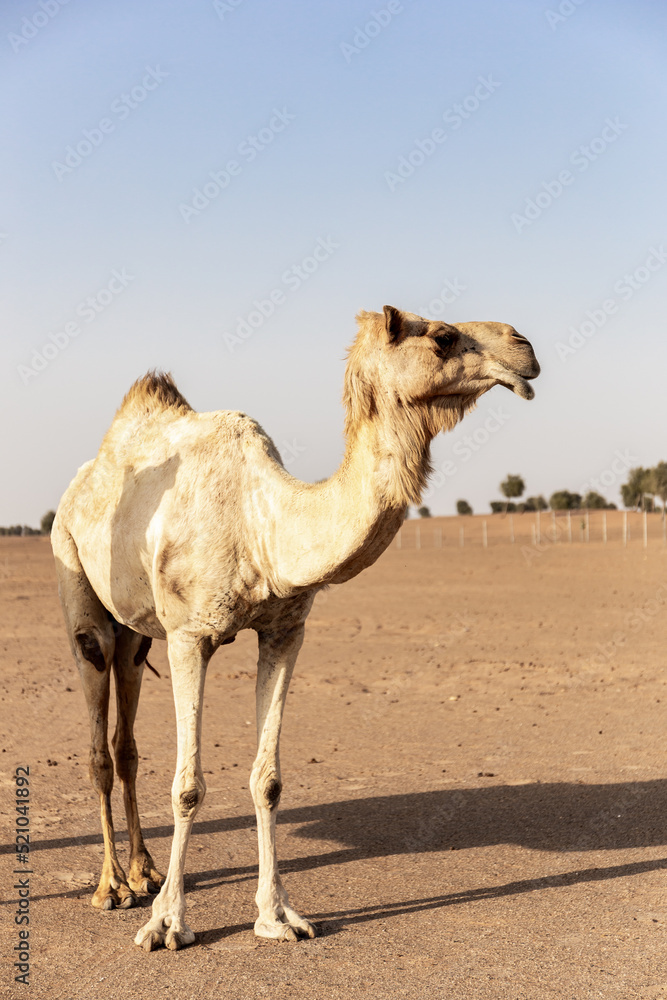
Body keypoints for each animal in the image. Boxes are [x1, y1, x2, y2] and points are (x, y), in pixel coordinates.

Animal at [52, 308, 540, 948]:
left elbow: (269, 780)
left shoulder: (284, 631)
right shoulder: (189, 636)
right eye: (441, 336)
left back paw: (144, 870)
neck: (264, 526)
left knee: (125, 739)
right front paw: (167, 923)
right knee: (98, 734)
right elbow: (187, 786)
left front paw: (277, 916)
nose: (525, 347)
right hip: (77, 581)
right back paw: (112, 887)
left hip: (136, 630)